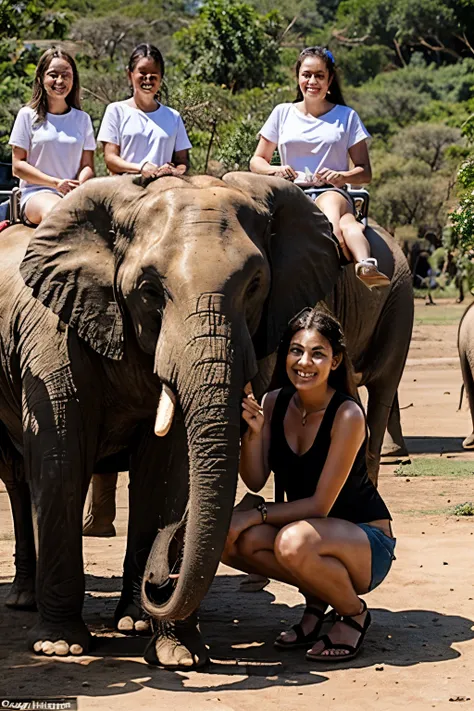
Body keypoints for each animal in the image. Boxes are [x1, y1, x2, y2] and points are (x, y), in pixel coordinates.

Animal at [0, 171, 412, 668]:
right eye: (150, 291)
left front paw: (169, 648)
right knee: (17, 476)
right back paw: (26, 602)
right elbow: (60, 457)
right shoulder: (53, 334)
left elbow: (167, 469)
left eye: (255, 285)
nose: (159, 580)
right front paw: (61, 645)